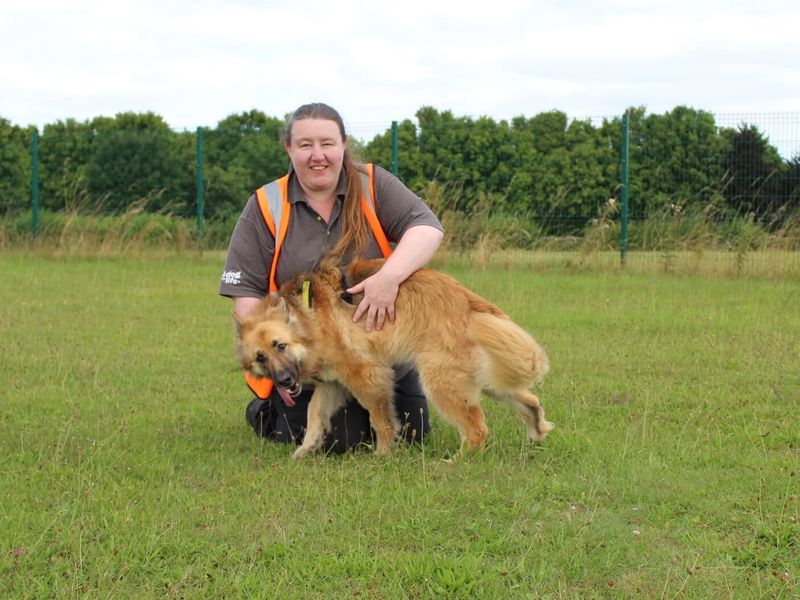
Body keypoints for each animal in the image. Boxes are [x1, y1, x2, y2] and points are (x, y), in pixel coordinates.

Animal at [234, 258, 552, 460]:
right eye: (260, 358)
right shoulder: (333, 382)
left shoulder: (367, 376)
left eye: (280, 345)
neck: (306, 318)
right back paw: (536, 430)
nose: (285, 382)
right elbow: (314, 413)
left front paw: (383, 453)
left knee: (477, 431)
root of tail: (466, 301)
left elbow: (380, 420)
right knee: (529, 400)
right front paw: (306, 447)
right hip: (481, 379)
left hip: (441, 384)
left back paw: (456, 462)